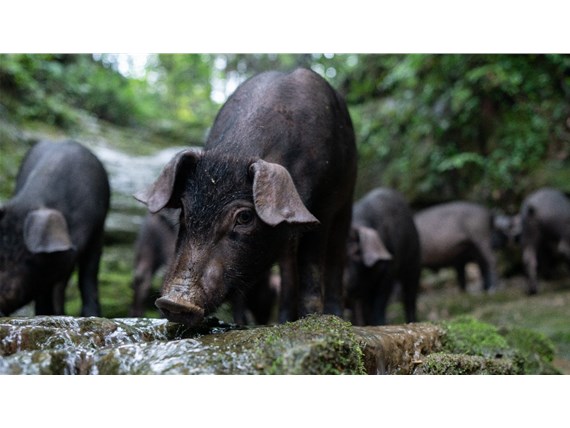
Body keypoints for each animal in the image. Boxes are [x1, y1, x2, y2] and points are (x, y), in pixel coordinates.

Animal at [134, 68, 356, 326]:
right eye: (184, 211)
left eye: (245, 217)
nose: (174, 302)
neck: (235, 154)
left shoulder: (323, 207)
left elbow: (311, 268)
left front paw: (314, 322)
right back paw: (282, 322)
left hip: (347, 198)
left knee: (335, 254)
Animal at [342, 187, 418, 324]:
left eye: (356, 253)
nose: (344, 283)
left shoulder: (388, 270)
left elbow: (380, 300)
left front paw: (379, 323)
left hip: (414, 260)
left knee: (410, 296)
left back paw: (411, 321)